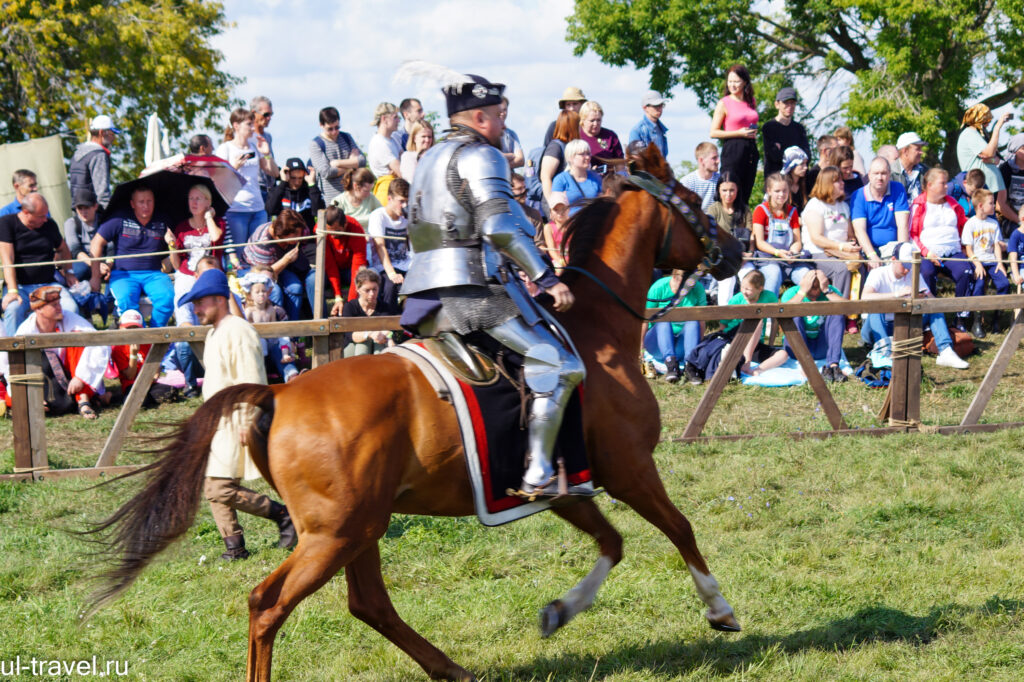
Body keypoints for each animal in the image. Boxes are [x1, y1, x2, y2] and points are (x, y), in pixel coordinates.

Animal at [86, 144, 745, 679]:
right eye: (692, 200)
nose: (736, 249)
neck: (597, 333)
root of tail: (277, 393)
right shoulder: (630, 469)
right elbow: (677, 528)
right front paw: (720, 608)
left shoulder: (570, 485)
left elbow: (613, 543)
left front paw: (561, 611)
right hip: (336, 534)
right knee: (268, 605)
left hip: (360, 528)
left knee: (368, 604)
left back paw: (452, 669)